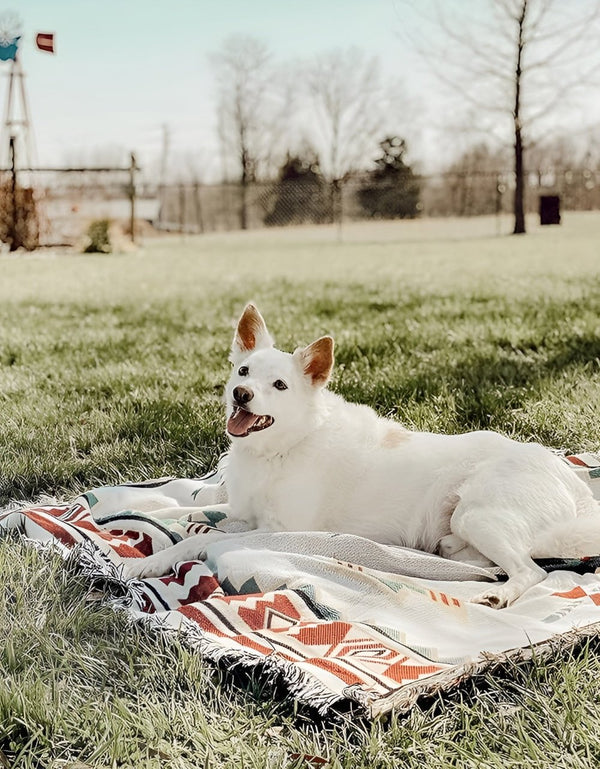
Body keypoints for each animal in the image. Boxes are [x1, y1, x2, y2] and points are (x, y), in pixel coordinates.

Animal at [127, 302, 600, 608]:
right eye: (243, 372)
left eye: (279, 385)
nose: (241, 394)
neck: (283, 445)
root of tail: (574, 486)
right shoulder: (244, 511)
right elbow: (206, 514)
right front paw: (183, 517)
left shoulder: (276, 530)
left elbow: (202, 539)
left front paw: (154, 560)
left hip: (478, 514)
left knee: (532, 571)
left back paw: (499, 593)